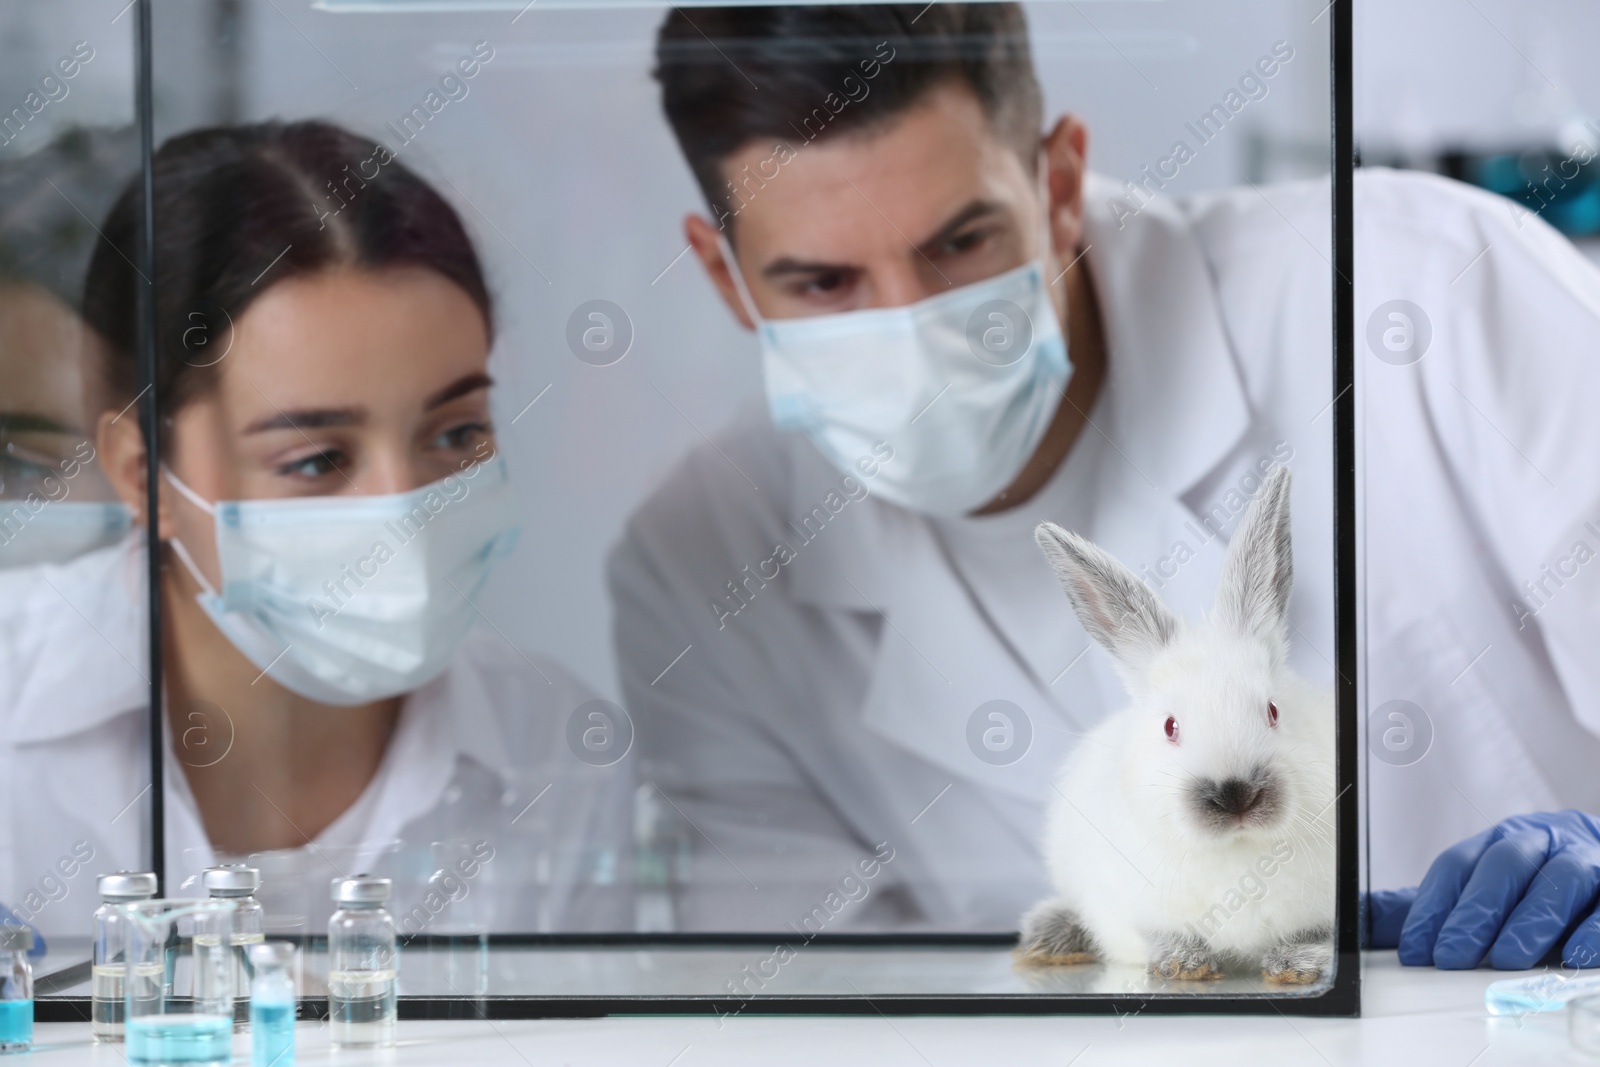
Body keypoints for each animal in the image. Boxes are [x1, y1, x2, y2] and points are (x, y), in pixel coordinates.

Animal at [1024, 467, 1337, 985]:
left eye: (1273, 711)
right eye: (1170, 726)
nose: (1236, 795)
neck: (1236, 850)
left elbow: (1311, 934)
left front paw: (1296, 966)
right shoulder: (1133, 902)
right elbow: (1159, 933)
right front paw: (1184, 964)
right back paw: (1046, 936)